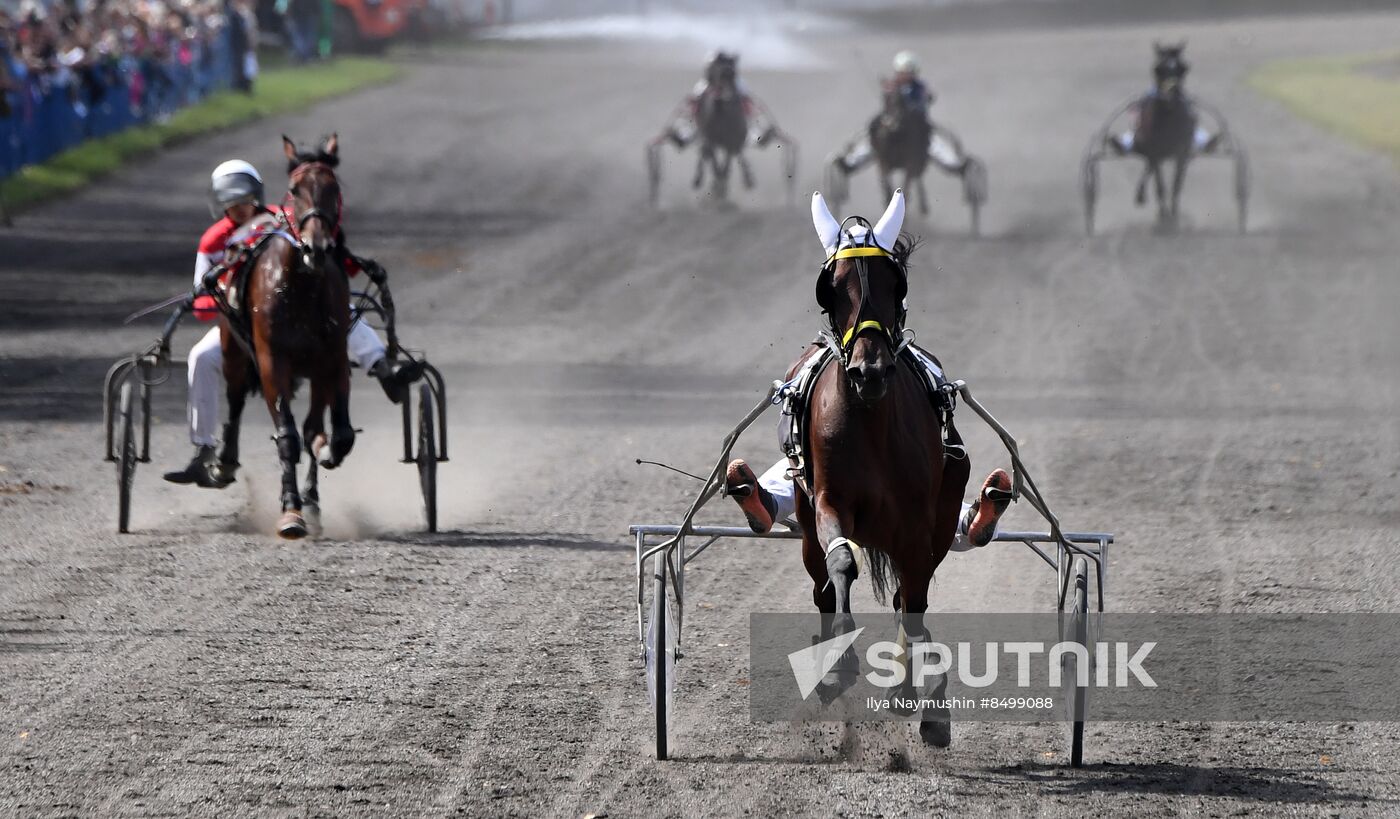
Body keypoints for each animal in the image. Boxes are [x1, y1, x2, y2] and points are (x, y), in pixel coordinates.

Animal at [215, 135, 355, 537]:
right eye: (295, 189)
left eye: (334, 187)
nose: (315, 247)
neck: (302, 288)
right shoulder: (271, 361)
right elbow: (288, 436)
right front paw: (292, 510)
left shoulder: (331, 359)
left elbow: (330, 434)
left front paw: (311, 496)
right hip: (233, 350)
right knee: (235, 399)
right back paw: (224, 461)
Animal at [795, 189, 968, 744]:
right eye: (832, 289)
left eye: (896, 283)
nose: (869, 371)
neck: (871, 423)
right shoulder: (829, 501)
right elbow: (841, 564)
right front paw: (840, 664)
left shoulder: (917, 523)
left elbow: (912, 599)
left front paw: (918, 695)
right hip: (805, 523)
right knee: (821, 584)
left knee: (912, 594)